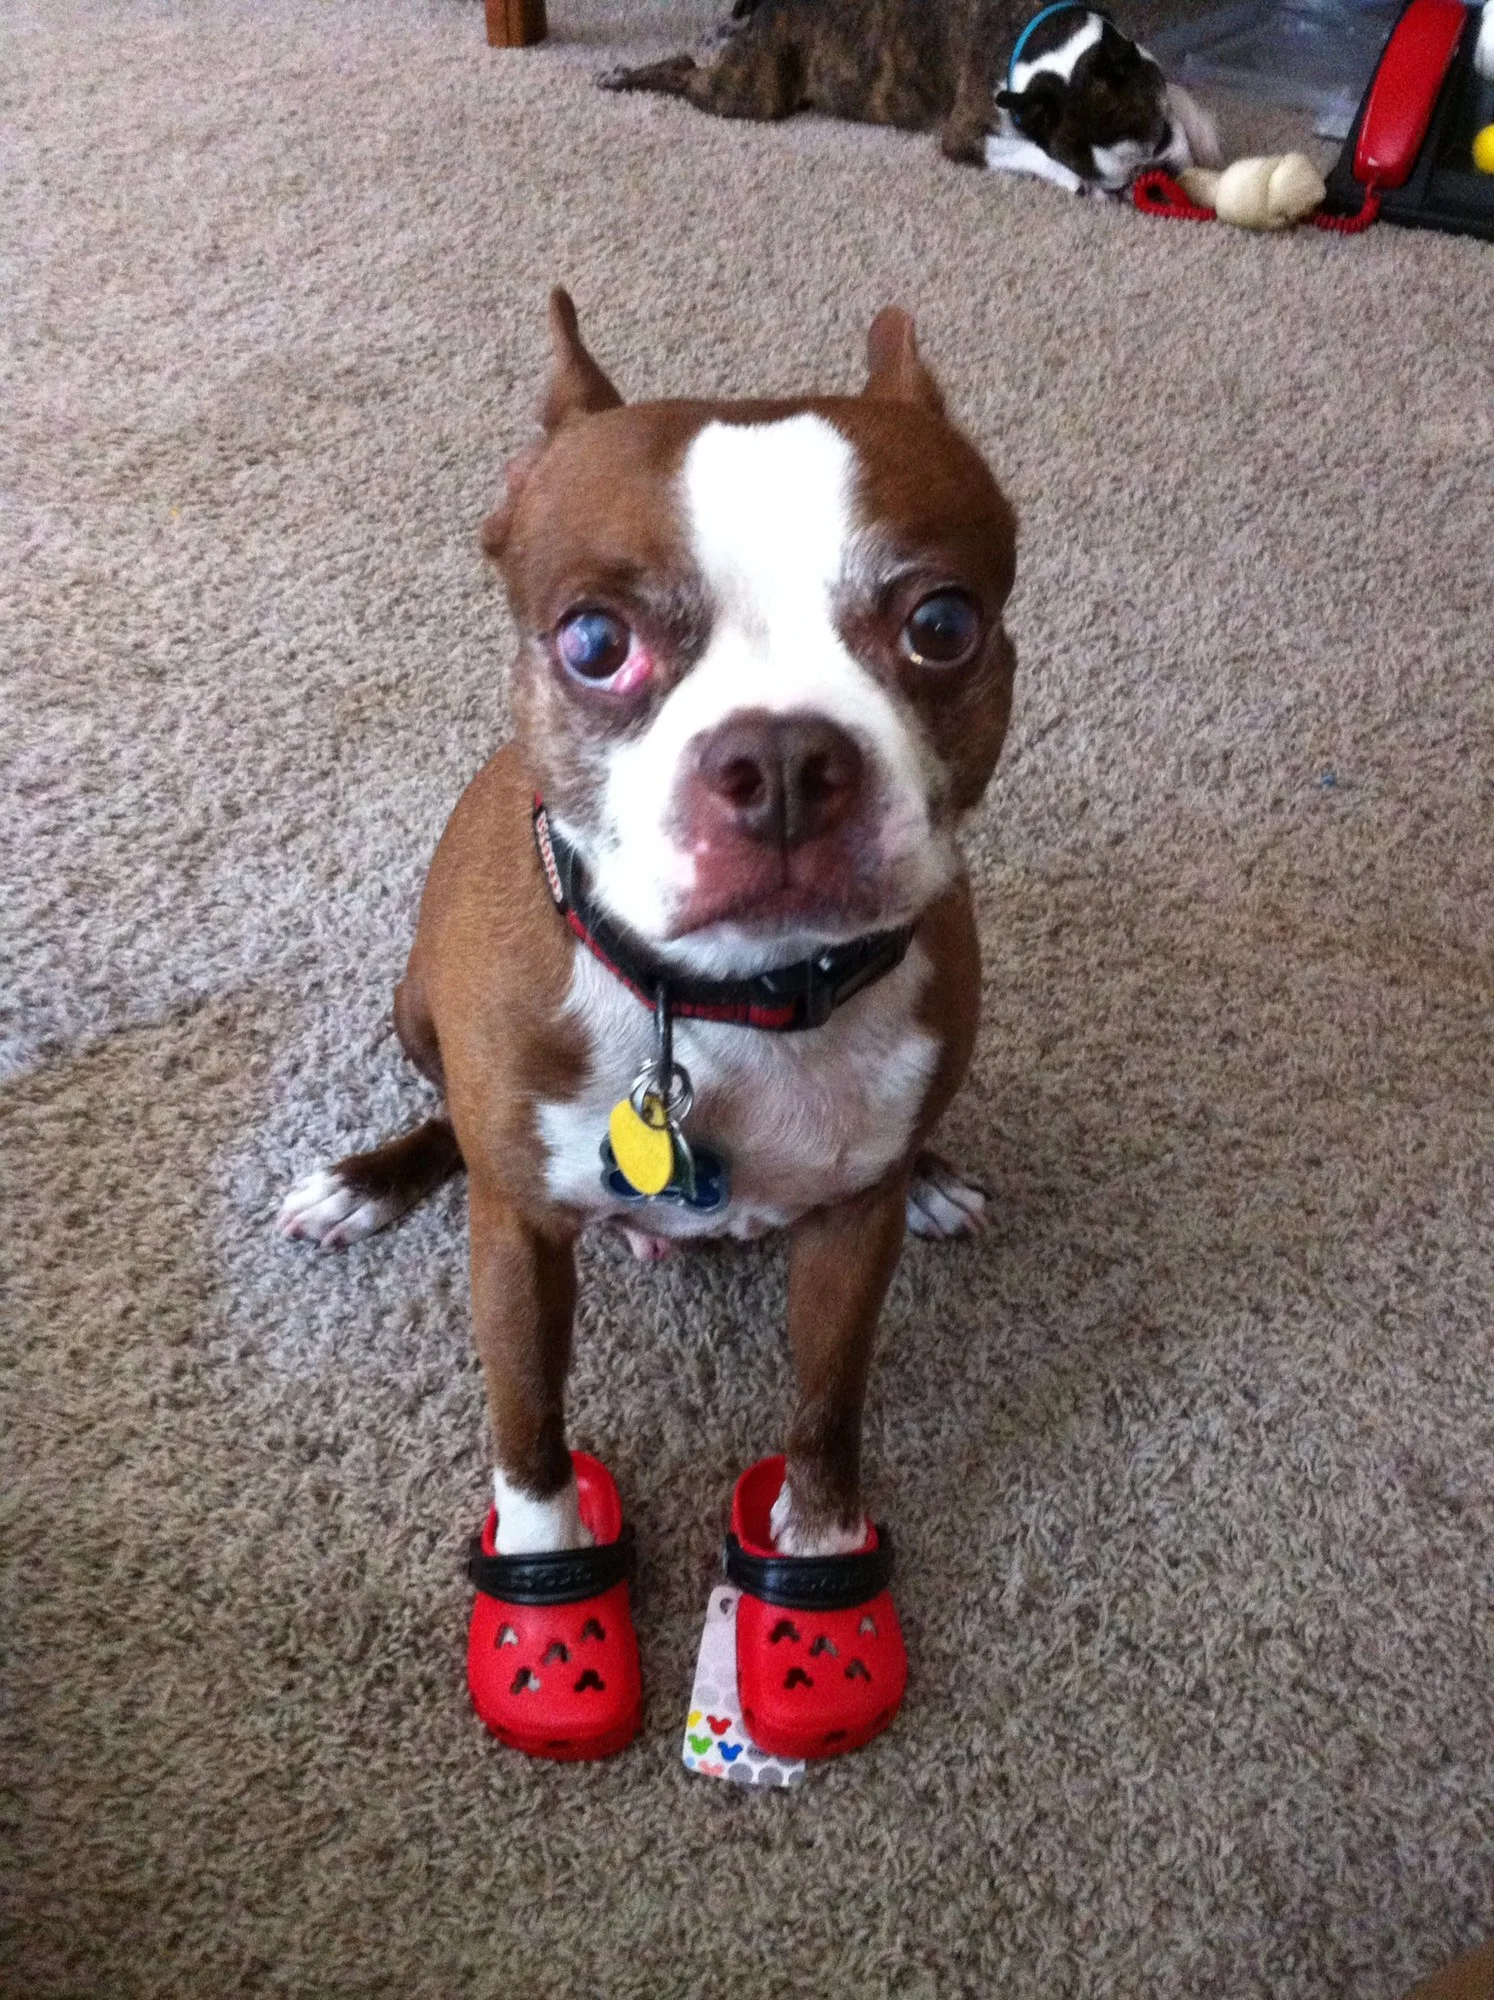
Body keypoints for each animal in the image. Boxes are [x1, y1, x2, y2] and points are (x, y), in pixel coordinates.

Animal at [280, 292, 1024, 1576]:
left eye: (941, 623)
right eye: (593, 641)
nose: (783, 760)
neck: (727, 1000)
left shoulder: (849, 1243)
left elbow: (828, 1403)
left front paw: (818, 1549)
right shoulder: (516, 1241)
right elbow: (530, 1422)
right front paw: (546, 1559)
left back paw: (931, 1172)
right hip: (415, 1006)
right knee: (449, 1122)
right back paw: (363, 1182)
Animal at [600, 0, 1224, 193]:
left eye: (1160, 139)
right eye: (1085, 170)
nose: (1146, 179)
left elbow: (1177, 85)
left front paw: (1204, 132)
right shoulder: (965, 132)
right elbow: (1027, 150)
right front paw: (1074, 181)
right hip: (750, 95)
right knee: (685, 71)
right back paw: (623, 75)